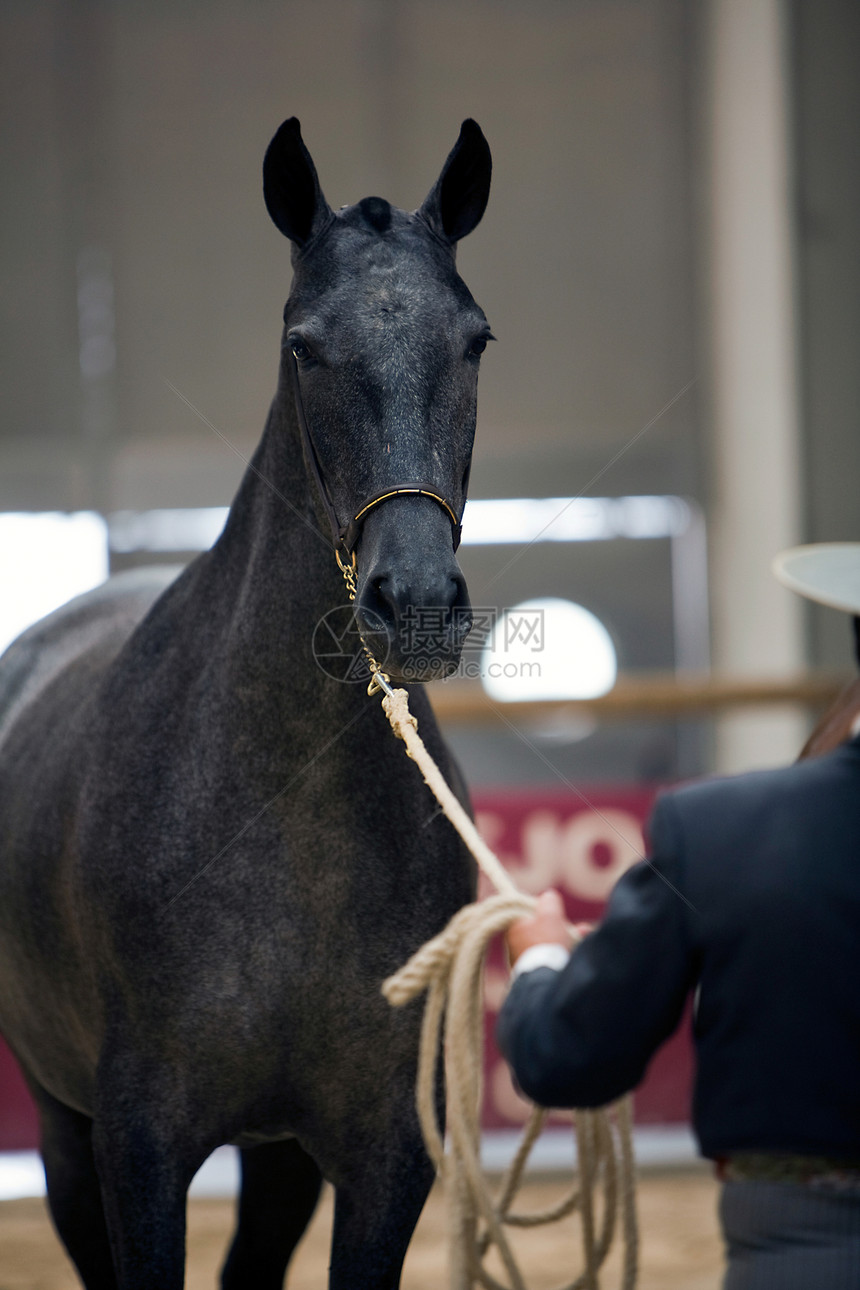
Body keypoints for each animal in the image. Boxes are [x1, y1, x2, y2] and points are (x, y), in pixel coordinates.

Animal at [0, 118, 489, 1290]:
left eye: (475, 341)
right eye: (303, 347)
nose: (414, 605)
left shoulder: (382, 1155)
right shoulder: (140, 1149)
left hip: (277, 1160)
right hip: (63, 1128)